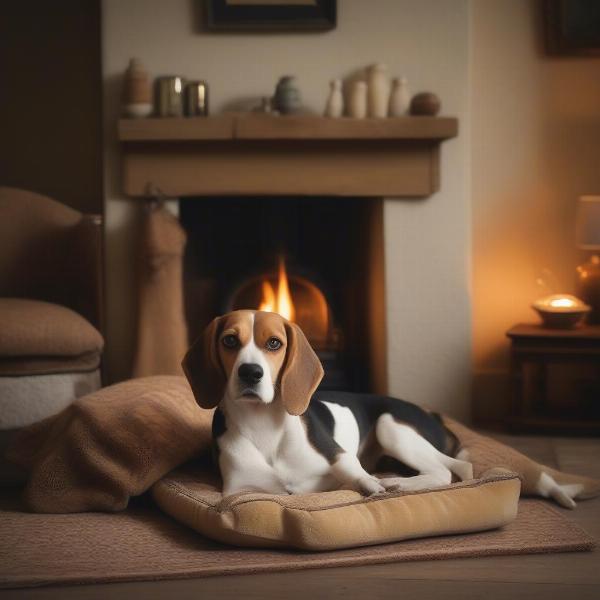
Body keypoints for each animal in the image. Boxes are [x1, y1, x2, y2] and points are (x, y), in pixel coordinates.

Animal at [183, 310, 474, 496]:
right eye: (230, 340)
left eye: (274, 343)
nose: (250, 372)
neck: (262, 423)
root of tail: (433, 416)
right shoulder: (241, 492)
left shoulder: (339, 455)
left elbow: (353, 472)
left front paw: (372, 484)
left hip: (389, 426)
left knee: (450, 469)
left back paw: (399, 484)